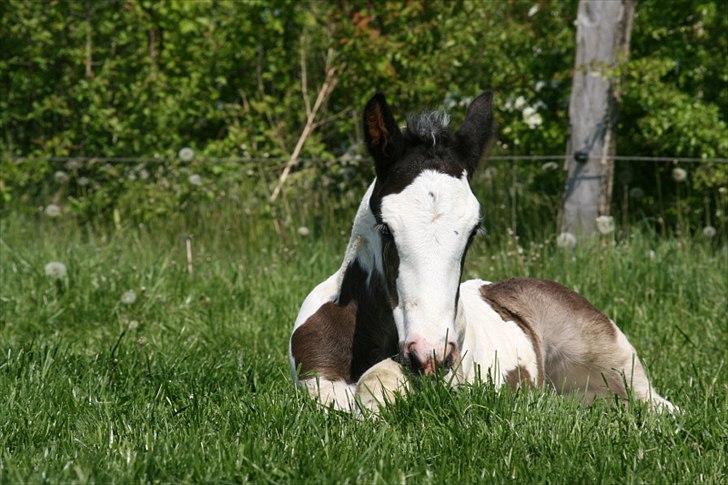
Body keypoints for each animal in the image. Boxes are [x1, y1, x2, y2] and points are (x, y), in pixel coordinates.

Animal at [288, 91, 672, 412]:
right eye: (385, 228)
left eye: (473, 231)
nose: (430, 355)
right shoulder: (316, 381)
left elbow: (380, 381)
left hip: (618, 365)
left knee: (659, 404)